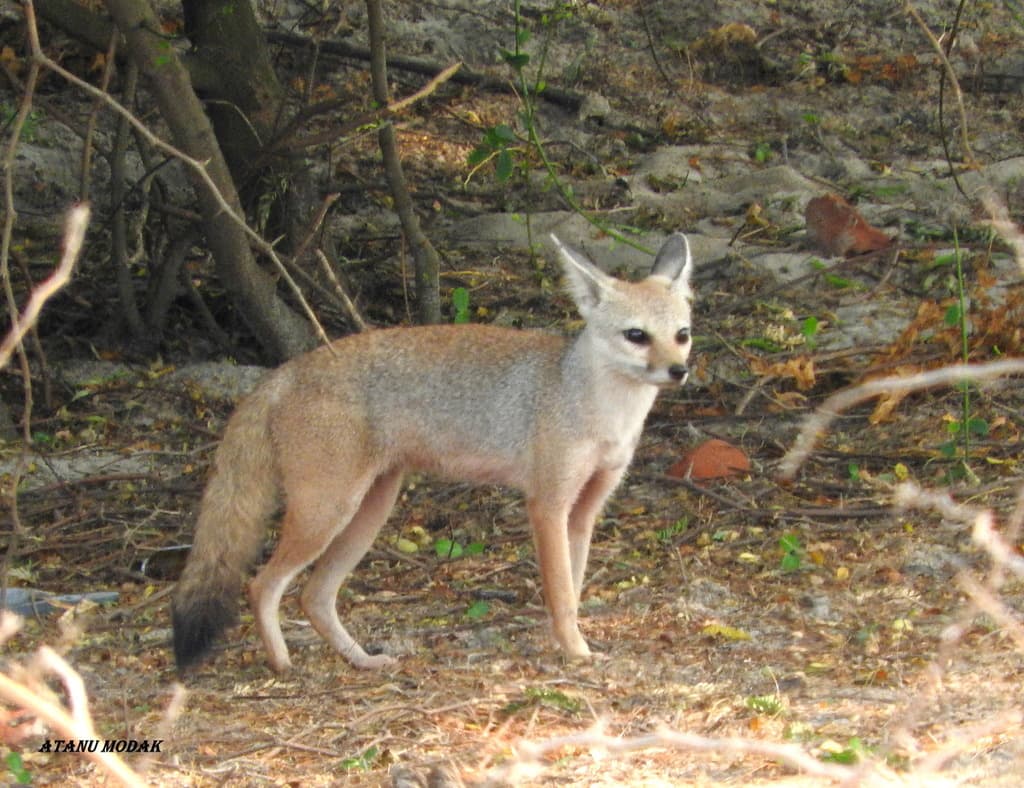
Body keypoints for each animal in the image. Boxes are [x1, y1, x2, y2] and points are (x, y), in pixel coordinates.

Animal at [172, 232, 694, 673]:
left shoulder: (584, 510)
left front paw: (569, 645)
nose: (679, 371)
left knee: (313, 597)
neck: (594, 406)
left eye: (682, 334)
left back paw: (362, 660)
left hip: (369, 511)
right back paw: (282, 664)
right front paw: (575, 652)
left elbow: (574, 588)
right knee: (262, 585)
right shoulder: (547, 505)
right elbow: (562, 595)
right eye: (636, 335)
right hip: (328, 513)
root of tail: (284, 372)